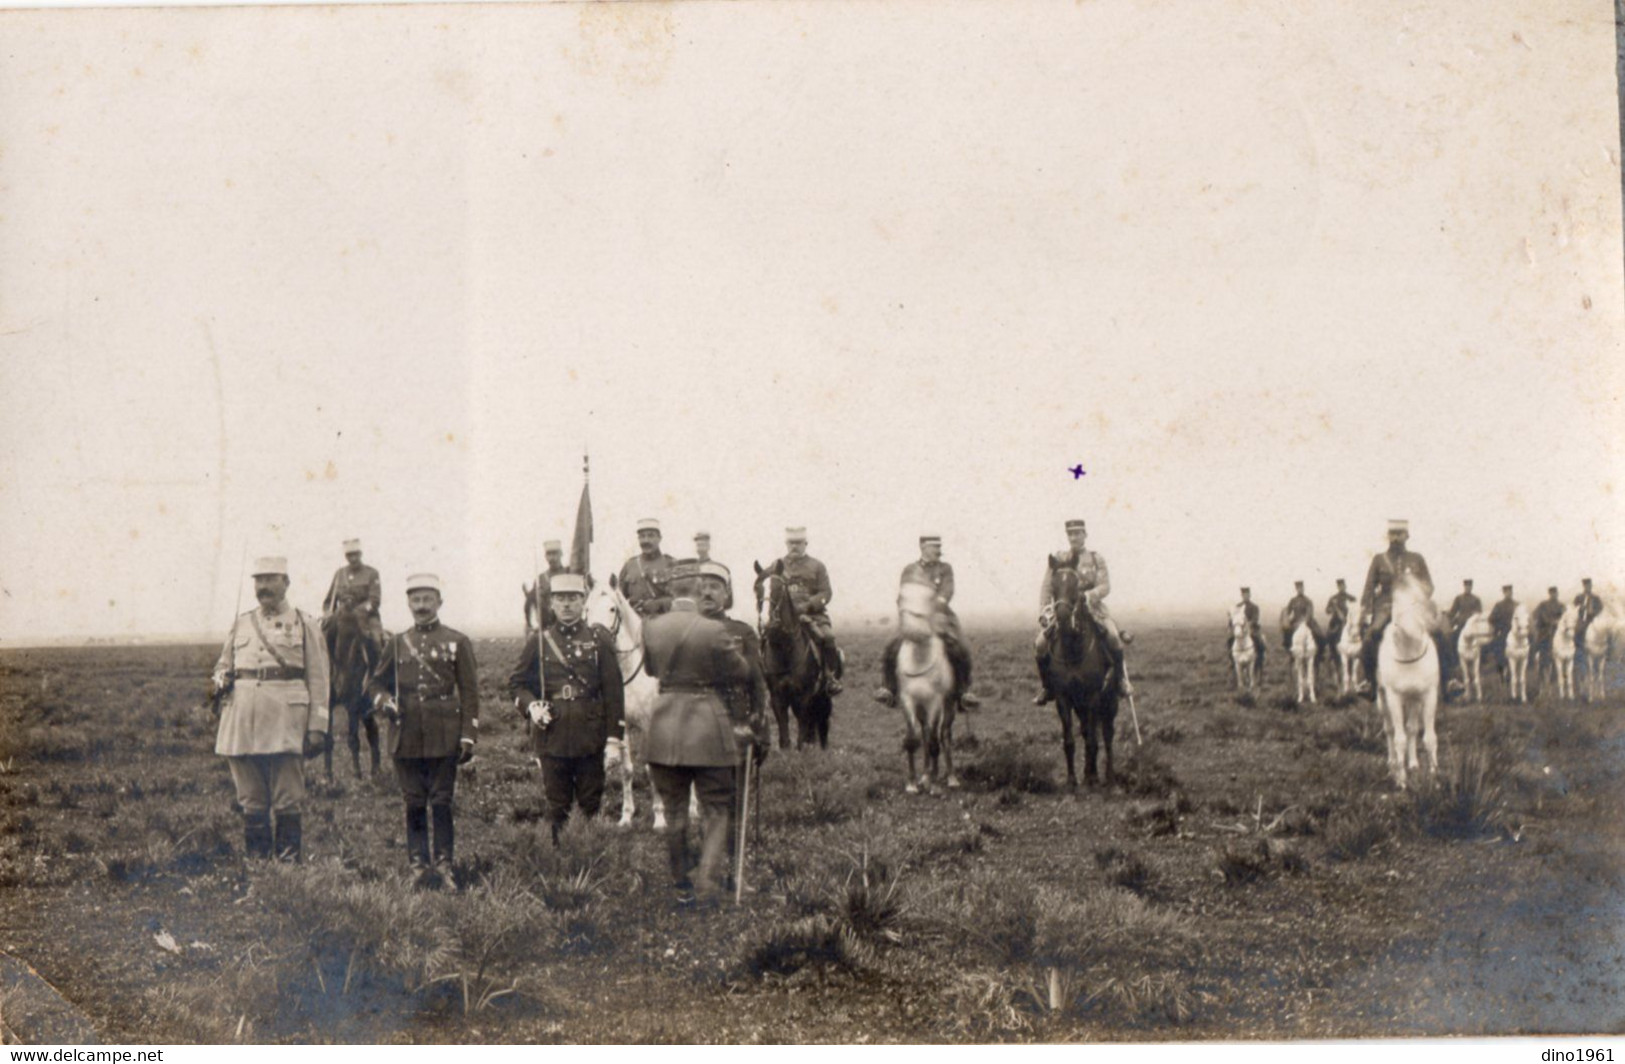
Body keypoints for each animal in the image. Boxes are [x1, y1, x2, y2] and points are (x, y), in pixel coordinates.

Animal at [320, 610, 380, 779]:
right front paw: (327, 775)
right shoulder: (328, 705)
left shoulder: (352, 704)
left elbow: (353, 739)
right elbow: (328, 739)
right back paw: (375, 772)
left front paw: (357, 774)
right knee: (373, 731)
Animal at [757, 558, 838, 750]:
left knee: (822, 724)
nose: (765, 624)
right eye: (756, 589)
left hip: (823, 697)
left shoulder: (804, 695)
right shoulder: (777, 696)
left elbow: (802, 728)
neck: (785, 650)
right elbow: (784, 734)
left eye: (778, 588)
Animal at [897, 581, 955, 799]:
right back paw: (926, 775)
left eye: (930, 599)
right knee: (925, 732)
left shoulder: (936, 702)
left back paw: (950, 777)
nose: (912, 628)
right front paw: (912, 783)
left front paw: (935, 786)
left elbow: (934, 743)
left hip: (949, 705)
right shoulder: (907, 700)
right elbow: (912, 740)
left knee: (944, 734)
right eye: (900, 598)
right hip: (921, 709)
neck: (918, 659)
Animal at [1040, 562, 1118, 786]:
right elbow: (1070, 740)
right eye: (1054, 584)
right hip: (1080, 705)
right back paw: (1088, 771)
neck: (1073, 649)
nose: (1063, 616)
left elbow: (1093, 739)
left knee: (1107, 734)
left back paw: (1107, 776)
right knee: (1085, 731)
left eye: (1077, 585)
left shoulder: (1093, 696)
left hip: (1110, 701)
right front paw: (1072, 779)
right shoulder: (1063, 698)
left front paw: (1092, 778)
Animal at [1378, 581, 1443, 789]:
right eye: (1399, 601)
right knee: (1390, 730)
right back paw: (1393, 766)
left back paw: (1413, 764)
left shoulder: (1428, 696)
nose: (1435, 618)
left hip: (1414, 700)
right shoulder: (1394, 697)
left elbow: (1429, 738)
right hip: (1382, 700)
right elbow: (1399, 739)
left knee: (1412, 728)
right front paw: (1402, 781)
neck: (1409, 654)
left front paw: (1434, 778)